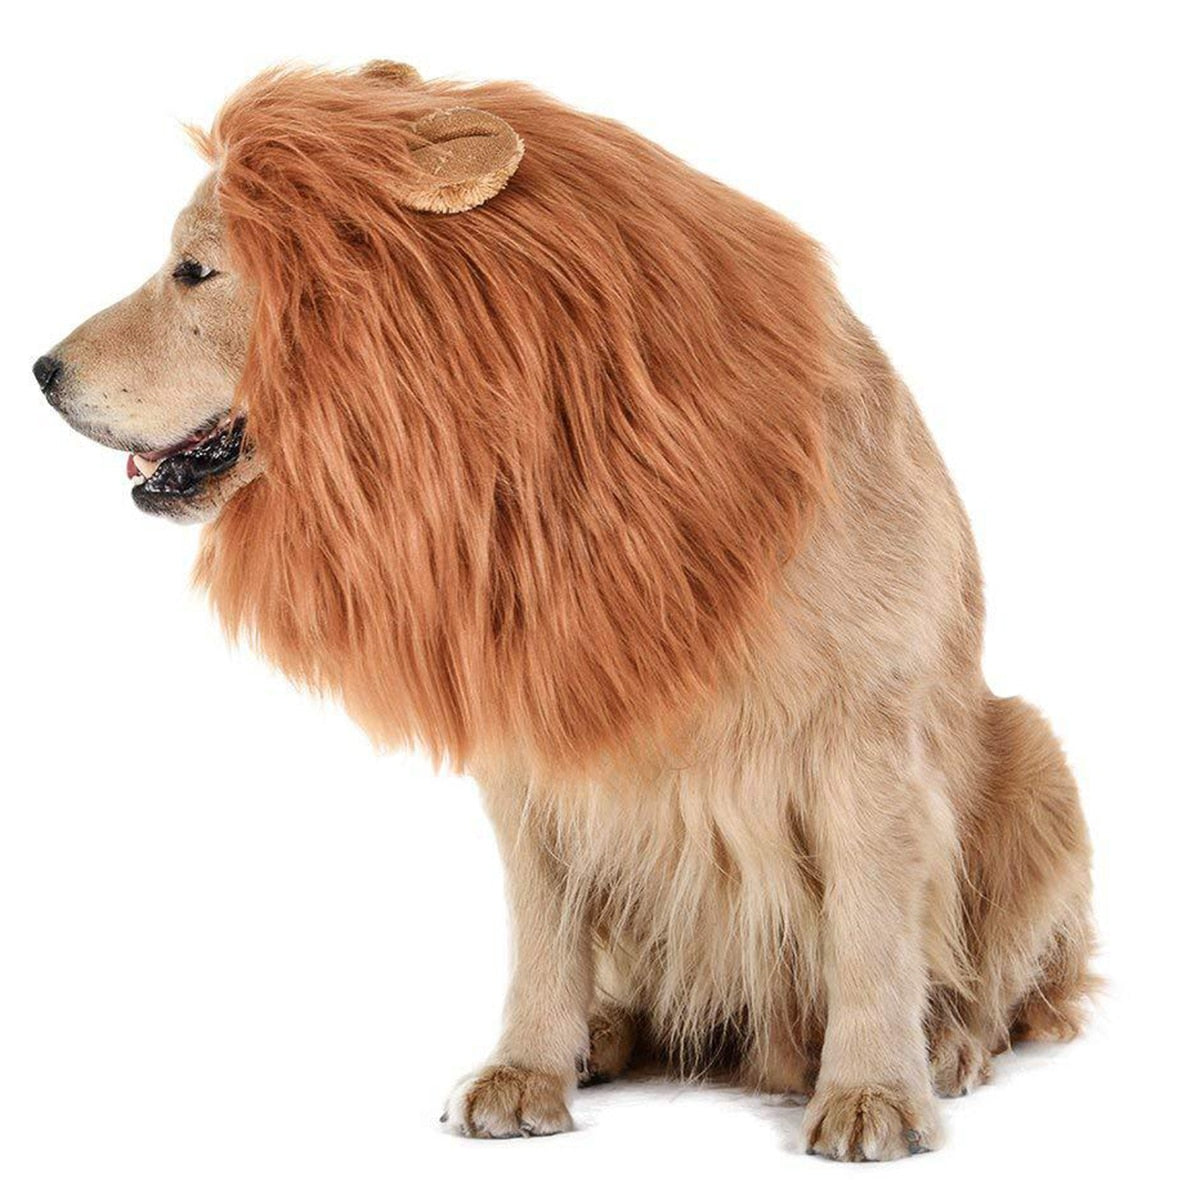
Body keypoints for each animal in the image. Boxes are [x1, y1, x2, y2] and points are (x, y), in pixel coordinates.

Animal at [32, 62, 1094, 1160]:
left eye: (194, 271)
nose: (39, 370)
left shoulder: (865, 738)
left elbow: (873, 932)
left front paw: (874, 1092)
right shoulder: (536, 737)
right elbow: (545, 936)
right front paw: (527, 1069)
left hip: (1034, 755)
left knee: (1003, 987)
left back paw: (950, 1048)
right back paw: (607, 1035)